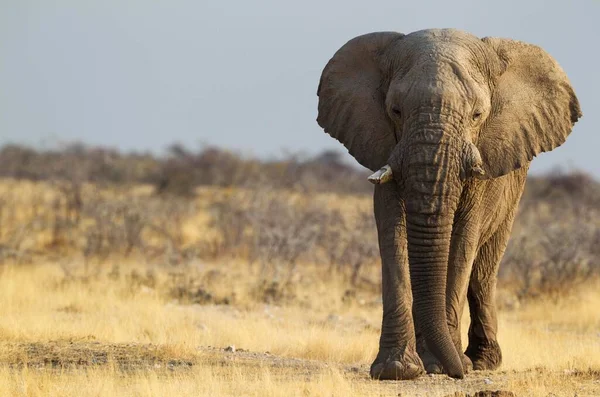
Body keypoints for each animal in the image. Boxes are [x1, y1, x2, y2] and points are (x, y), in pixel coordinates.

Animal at [316, 29, 580, 378]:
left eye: (477, 115)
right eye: (395, 110)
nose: (459, 373)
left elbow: (462, 244)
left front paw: (441, 366)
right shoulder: (386, 146)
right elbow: (392, 235)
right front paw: (396, 370)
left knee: (483, 272)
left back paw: (481, 361)